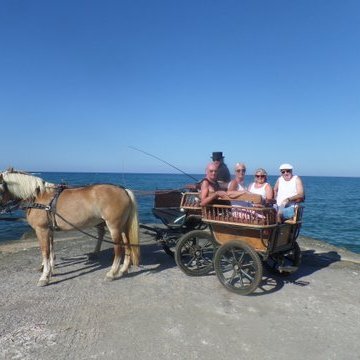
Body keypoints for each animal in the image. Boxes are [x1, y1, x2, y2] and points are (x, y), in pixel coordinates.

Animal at [0, 169, 140, 286]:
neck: (38, 197)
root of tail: (124, 190)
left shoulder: (42, 230)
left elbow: (45, 252)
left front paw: (44, 277)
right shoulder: (49, 230)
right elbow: (51, 250)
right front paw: (50, 271)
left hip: (114, 226)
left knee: (118, 249)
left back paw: (112, 273)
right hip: (122, 227)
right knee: (127, 245)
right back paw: (123, 269)